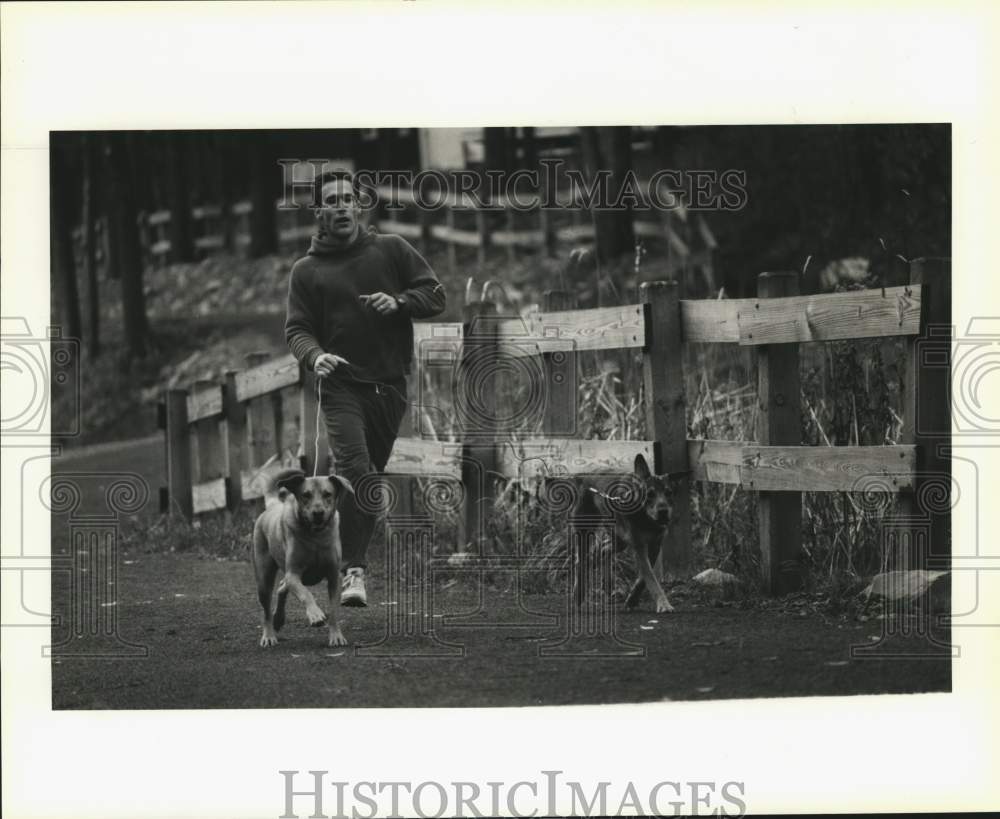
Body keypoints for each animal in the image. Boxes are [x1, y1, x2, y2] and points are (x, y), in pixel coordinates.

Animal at [252, 470, 354, 652]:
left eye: (327, 494)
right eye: (306, 495)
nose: (318, 513)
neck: (316, 537)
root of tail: (272, 506)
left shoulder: (334, 577)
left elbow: (334, 611)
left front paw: (336, 636)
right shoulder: (293, 574)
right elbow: (306, 594)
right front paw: (315, 614)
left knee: (281, 587)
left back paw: (279, 618)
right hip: (264, 579)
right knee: (266, 611)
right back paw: (269, 635)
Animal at [576, 454, 676, 616]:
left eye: (669, 493)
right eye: (650, 494)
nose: (663, 512)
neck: (645, 518)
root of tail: (589, 473)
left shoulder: (654, 545)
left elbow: (642, 579)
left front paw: (632, 600)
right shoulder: (638, 546)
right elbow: (651, 578)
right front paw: (663, 604)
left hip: (619, 539)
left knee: (600, 551)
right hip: (584, 529)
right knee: (581, 561)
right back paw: (578, 593)